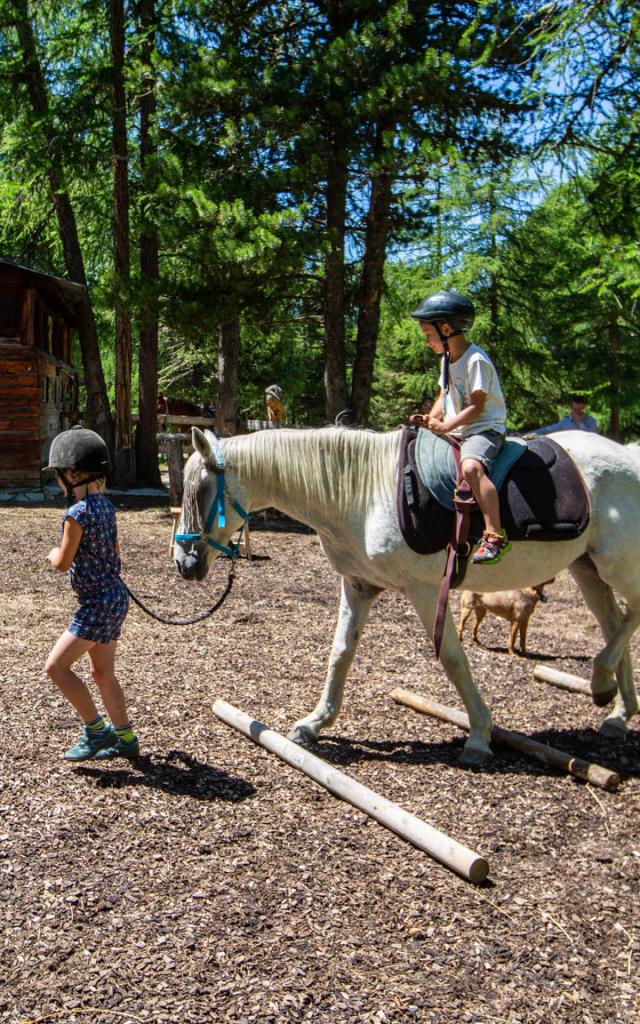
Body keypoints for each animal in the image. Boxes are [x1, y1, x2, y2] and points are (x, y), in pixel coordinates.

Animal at [173, 428, 638, 765]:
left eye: (201, 491)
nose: (183, 562)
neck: (361, 494)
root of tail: (629, 456)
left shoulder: (426, 591)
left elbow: (453, 658)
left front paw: (479, 736)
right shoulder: (358, 585)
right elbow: (340, 653)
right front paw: (314, 723)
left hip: (617, 566)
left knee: (631, 616)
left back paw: (601, 681)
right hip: (586, 568)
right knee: (614, 624)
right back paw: (618, 711)